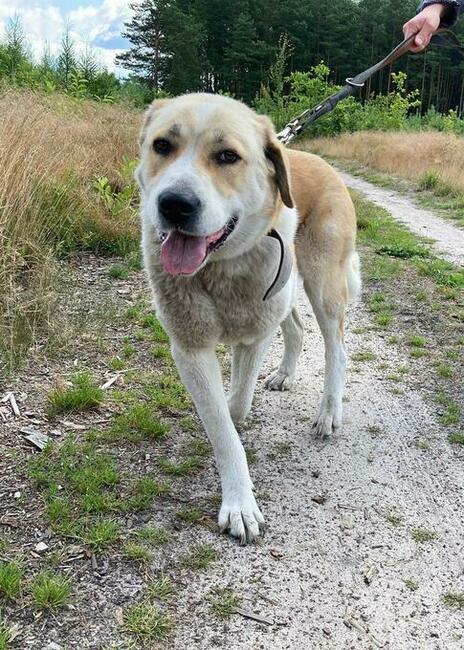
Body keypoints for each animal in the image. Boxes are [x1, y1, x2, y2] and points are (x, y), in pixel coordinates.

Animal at [136, 92, 360, 540]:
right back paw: (284, 374)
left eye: (227, 156)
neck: (219, 269)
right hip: (287, 289)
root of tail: (320, 160)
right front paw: (238, 500)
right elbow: (221, 425)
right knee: (297, 327)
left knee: (336, 348)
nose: (174, 204)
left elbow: (236, 405)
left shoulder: (254, 336)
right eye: (162, 146)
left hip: (323, 283)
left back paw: (329, 411)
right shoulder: (190, 348)